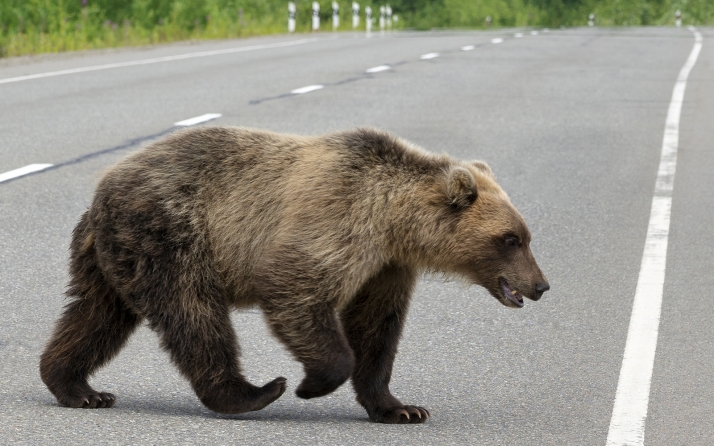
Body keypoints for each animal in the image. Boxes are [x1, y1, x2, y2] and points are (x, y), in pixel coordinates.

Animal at [40, 126, 549, 424]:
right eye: (510, 239)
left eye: (526, 235)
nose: (541, 285)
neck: (395, 221)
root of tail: (102, 188)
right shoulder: (338, 219)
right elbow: (295, 287)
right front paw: (311, 383)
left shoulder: (385, 266)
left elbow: (377, 328)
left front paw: (401, 407)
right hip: (171, 233)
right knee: (193, 312)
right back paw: (253, 392)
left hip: (112, 256)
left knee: (96, 314)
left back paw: (78, 387)